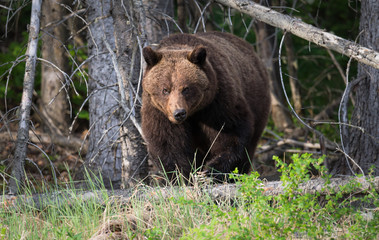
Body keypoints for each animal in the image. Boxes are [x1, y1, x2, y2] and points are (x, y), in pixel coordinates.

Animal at [142, 31, 270, 182]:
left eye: (186, 88)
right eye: (165, 89)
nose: (179, 113)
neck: (193, 114)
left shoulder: (217, 103)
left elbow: (230, 134)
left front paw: (209, 171)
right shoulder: (158, 112)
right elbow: (167, 143)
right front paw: (181, 176)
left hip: (258, 103)